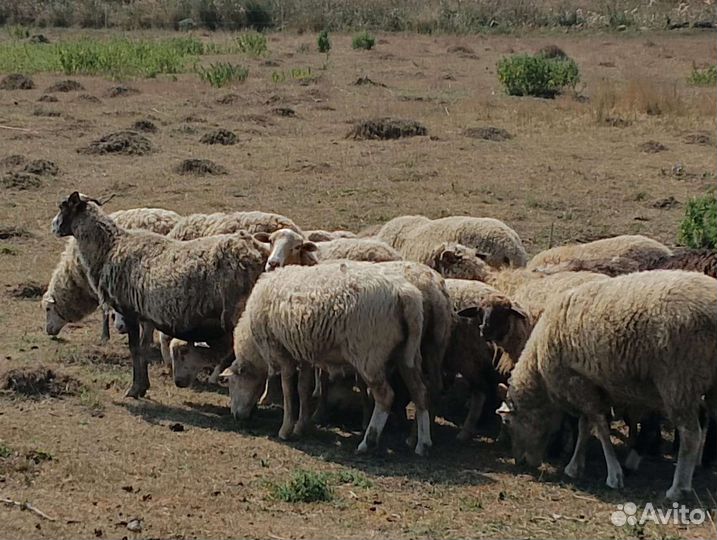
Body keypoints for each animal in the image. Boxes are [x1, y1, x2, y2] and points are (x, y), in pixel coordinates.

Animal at [219, 261, 433, 455]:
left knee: (386, 396)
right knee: (420, 392)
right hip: (407, 355)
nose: (236, 416)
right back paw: (422, 444)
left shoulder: (282, 352)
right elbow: (303, 388)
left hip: (369, 355)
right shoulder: (302, 353)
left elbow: (288, 389)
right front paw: (301, 426)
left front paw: (285, 429)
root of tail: (405, 292)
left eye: (231, 383)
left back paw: (367, 443)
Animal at [498, 270, 717, 501]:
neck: (539, 366)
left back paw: (677, 489)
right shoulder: (589, 387)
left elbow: (600, 428)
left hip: (679, 380)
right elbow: (585, 426)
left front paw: (613, 475)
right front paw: (575, 466)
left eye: (507, 422)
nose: (519, 462)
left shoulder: (577, 384)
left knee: (691, 434)